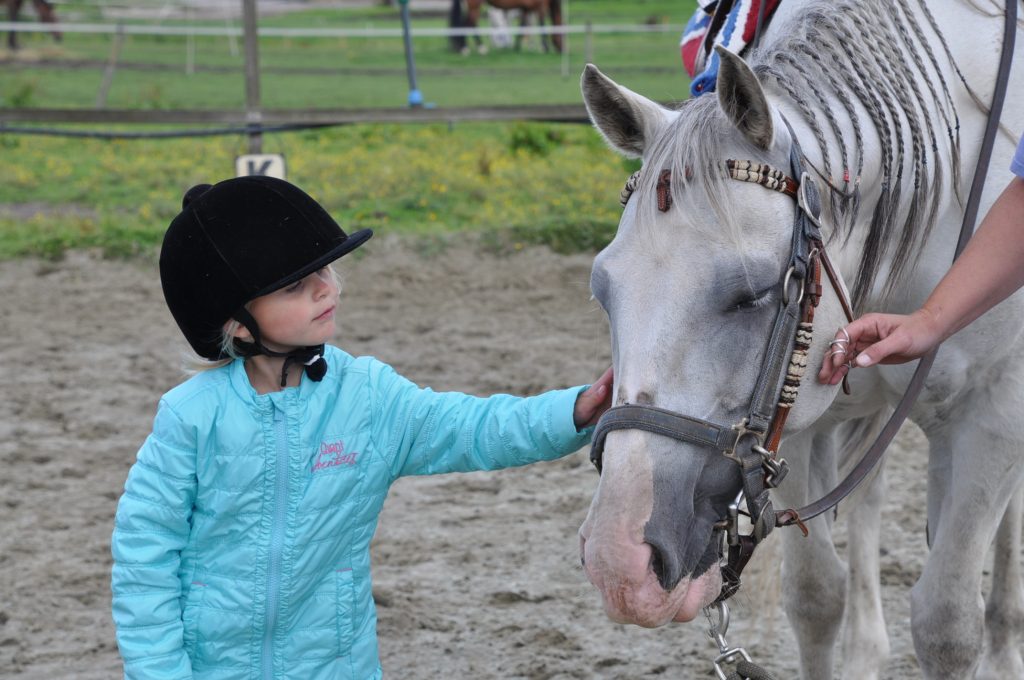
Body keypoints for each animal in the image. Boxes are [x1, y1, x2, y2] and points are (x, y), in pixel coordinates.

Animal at [577, 0, 1024, 677]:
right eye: (603, 288)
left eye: (755, 292)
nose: (619, 561)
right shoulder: (800, 425)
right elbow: (815, 599)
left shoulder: (991, 417)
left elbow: (947, 624)